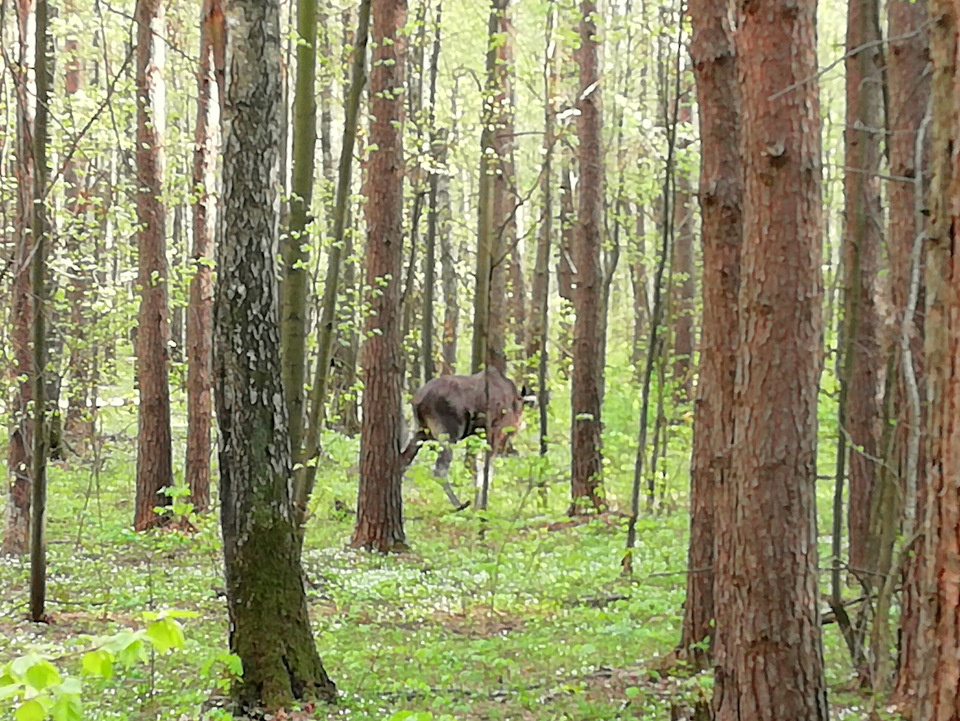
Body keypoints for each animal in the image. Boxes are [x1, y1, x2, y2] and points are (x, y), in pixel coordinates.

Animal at [398, 368, 532, 504]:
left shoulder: (477, 435)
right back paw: (458, 504)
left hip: (422, 432)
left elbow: (472, 467)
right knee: (440, 469)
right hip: (448, 434)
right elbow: (487, 470)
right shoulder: (495, 430)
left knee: (404, 462)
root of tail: (417, 401)